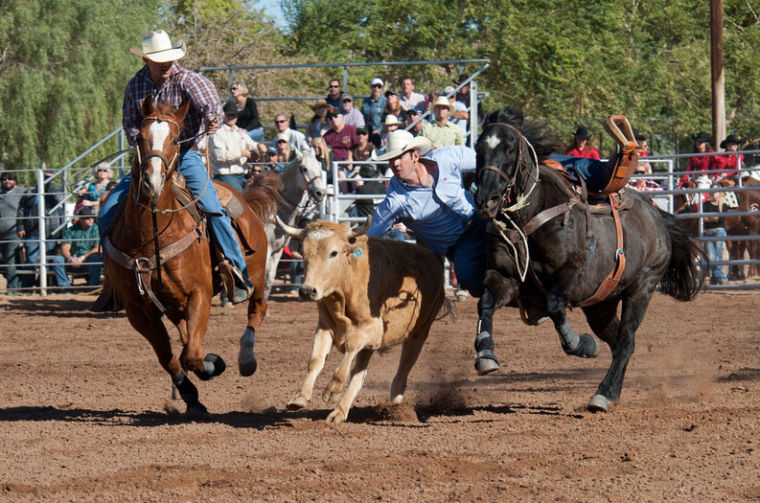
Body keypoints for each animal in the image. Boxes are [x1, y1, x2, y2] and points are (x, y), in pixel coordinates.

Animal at [277, 216, 446, 424]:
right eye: (302, 251)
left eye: (334, 253)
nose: (307, 291)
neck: (346, 288)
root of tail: (432, 256)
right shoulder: (325, 326)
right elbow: (316, 360)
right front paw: (300, 397)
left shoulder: (374, 327)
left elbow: (352, 344)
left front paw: (333, 389)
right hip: (372, 348)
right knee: (358, 377)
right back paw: (339, 412)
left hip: (419, 333)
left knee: (402, 372)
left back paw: (395, 408)